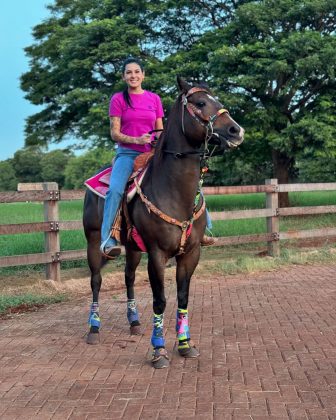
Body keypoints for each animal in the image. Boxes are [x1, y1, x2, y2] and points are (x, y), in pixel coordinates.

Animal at [82, 77, 243, 370]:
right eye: (200, 103)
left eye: (217, 99)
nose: (236, 130)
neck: (174, 190)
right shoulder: (157, 254)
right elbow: (160, 300)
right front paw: (159, 351)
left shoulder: (190, 253)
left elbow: (182, 297)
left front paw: (185, 344)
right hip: (94, 241)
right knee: (96, 281)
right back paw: (94, 328)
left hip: (133, 249)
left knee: (128, 278)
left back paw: (134, 322)